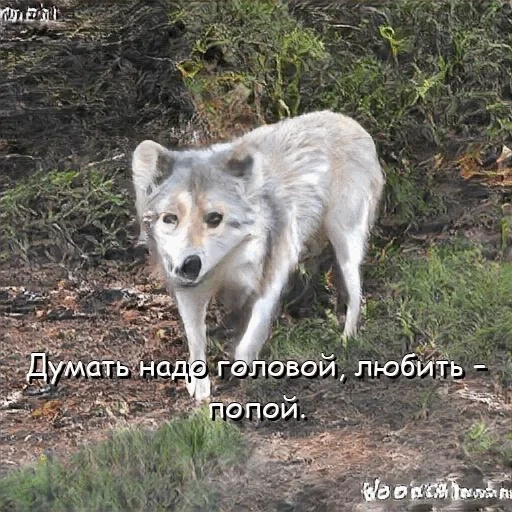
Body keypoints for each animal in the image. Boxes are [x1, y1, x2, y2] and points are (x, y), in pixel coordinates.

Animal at [131, 111, 384, 400]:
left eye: (214, 218)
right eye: (170, 218)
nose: (189, 266)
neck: (226, 262)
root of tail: (349, 121)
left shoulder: (273, 271)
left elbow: (251, 336)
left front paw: (241, 373)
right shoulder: (191, 292)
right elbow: (196, 341)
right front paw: (200, 390)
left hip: (346, 242)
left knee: (356, 293)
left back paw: (346, 338)